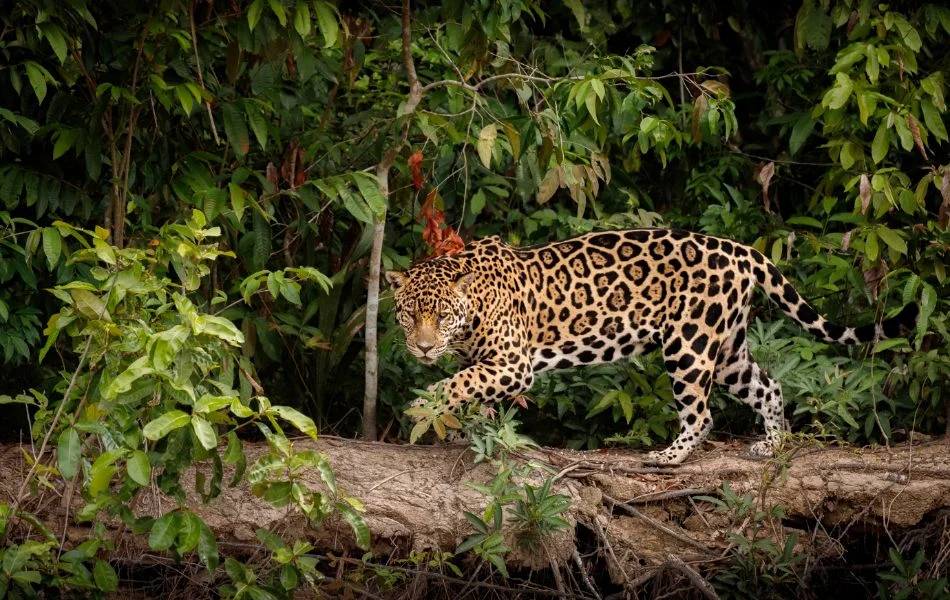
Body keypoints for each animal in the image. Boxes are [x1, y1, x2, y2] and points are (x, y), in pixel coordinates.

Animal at [385, 229, 919, 465]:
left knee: (703, 414)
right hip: (728, 350)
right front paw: (464, 431)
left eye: (441, 315)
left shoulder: (513, 363)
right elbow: (476, 392)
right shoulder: (492, 364)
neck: (472, 307)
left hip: (690, 344)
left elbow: (460, 383)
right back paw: (771, 443)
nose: (424, 349)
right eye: (410, 314)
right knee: (768, 386)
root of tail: (742, 249)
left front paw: (422, 408)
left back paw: (668, 457)